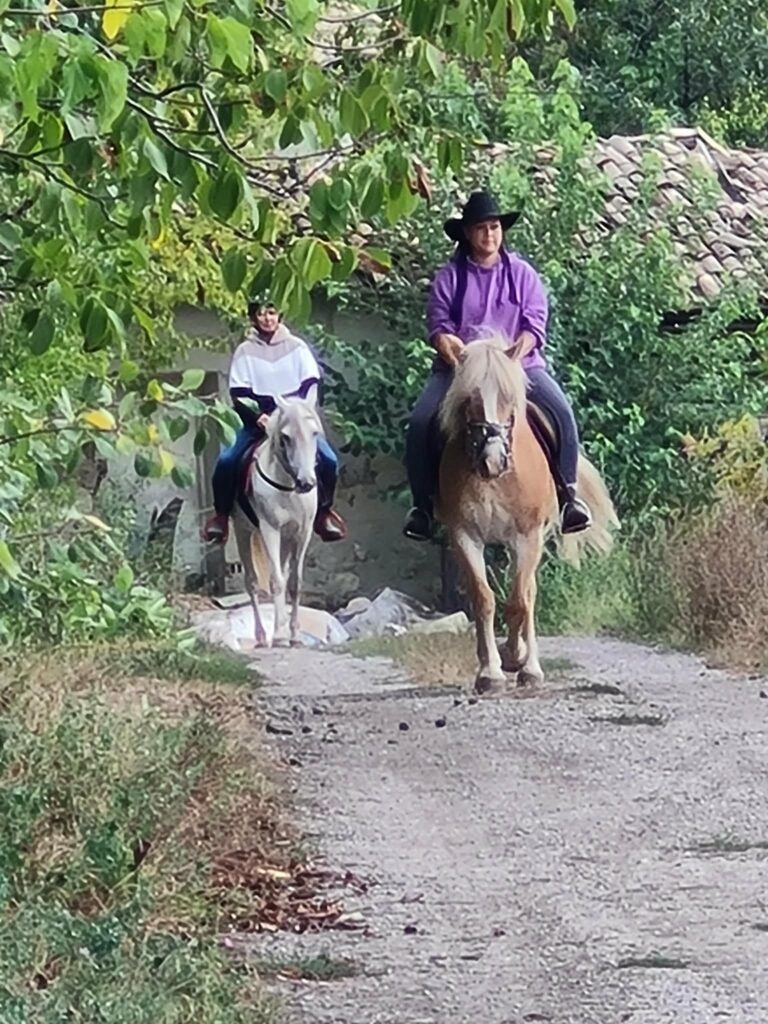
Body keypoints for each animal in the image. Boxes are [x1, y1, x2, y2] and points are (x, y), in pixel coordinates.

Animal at [231, 396, 322, 648]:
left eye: (315, 433)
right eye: (286, 437)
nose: (306, 482)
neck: (288, 488)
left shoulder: (302, 533)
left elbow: (294, 583)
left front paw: (294, 636)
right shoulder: (270, 530)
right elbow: (276, 582)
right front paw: (280, 636)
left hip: (285, 539)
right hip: (242, 530)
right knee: (252, 582)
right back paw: (263, 637)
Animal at [437, 334, 619, 693]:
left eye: (509, 398)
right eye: (469, 399)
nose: (492, 461)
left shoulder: (528, 535)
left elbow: (519, 599)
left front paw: (521, 662)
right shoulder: (464, 535)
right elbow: (484, 598)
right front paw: (490, 672)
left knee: (528, 592)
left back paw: (525, 660)